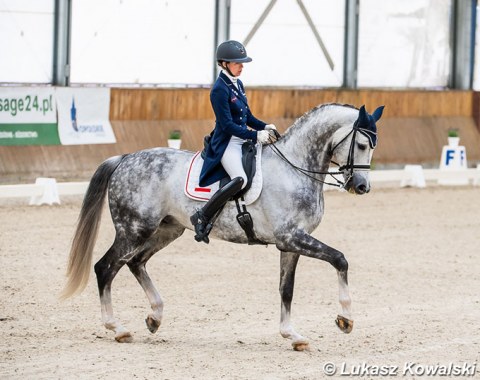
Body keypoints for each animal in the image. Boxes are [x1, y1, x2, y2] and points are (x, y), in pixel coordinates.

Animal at [61, 103, 382, 350]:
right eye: (361, 145)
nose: (362, 187)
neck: (295, 169)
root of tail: (125, 158)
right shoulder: (292, 238)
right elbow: (340, 259)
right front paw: (345, 319)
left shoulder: (290, 243)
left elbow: (286, 289)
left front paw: (293, 336)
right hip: (134, 229)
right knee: (106, 267)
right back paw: (117, 328)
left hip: (166, 230)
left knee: (135, 263)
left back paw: (155, 317)